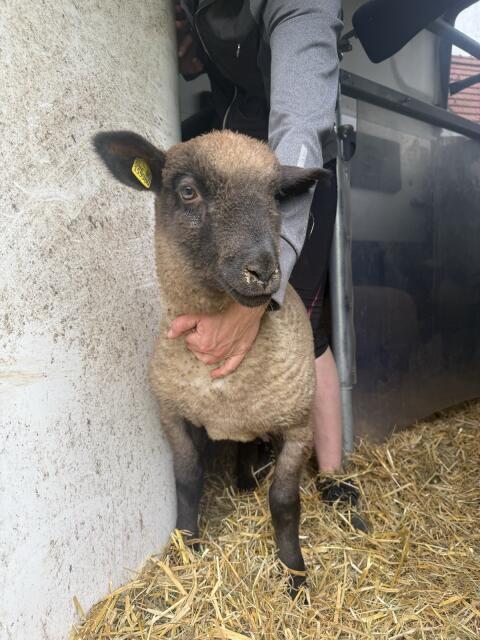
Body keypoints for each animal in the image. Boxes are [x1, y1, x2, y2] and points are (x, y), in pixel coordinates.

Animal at [93, 129, 329, 592]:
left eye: (275, 195)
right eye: (188, 191)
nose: (262, 272)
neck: (222, 384)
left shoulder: (298, 428)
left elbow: (284, 501)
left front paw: (294, 574)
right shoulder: (173, 414)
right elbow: (187, 479)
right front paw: (187, 544)